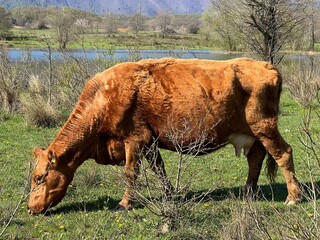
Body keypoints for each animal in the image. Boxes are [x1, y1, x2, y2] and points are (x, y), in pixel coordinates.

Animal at [26, 57, 300, 214]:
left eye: (39, 178)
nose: (30, 208)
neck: (103, 98)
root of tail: (266, 65)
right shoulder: (150, 142)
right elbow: (159, 168)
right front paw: (170, 194)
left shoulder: (134, 139)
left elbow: (131, 172)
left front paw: (125, 203)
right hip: (253, 134)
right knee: (255, 159)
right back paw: (247, 193)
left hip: (265, 127)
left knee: (283, 154)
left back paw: (293, 197)